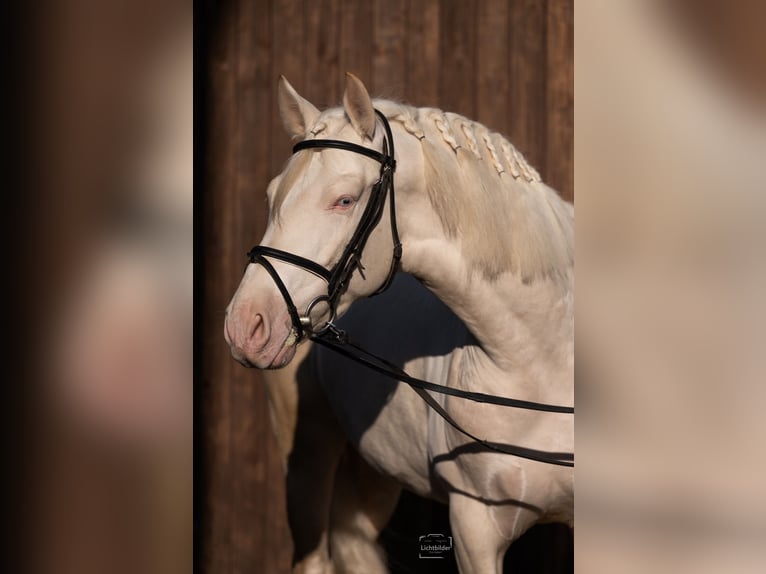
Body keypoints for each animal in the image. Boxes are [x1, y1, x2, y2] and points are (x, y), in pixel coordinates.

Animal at [225, 74, 572, 572]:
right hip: (307, 459)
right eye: (273, 196)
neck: (543, 361)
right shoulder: (475, 528)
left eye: (344, 200)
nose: (246, 325)